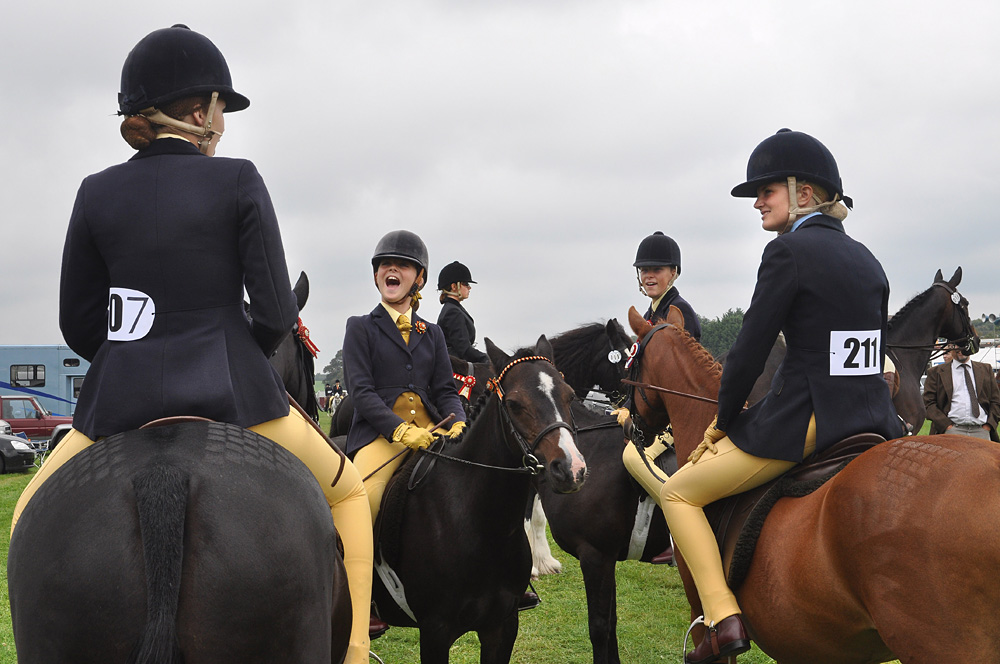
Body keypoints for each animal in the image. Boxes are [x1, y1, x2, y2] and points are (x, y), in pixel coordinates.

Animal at [370, 338, 584, 664]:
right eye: (514, 404)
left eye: (570, 396)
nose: (571, 469)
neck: (483, 525)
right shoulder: (435, 631)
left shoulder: (502, 625)